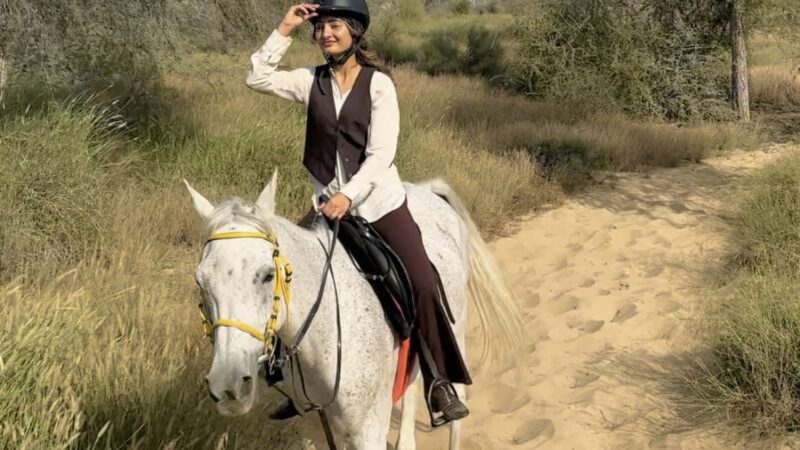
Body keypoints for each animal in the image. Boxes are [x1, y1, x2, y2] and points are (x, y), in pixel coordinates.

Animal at [185, 171, 528, 448]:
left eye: (268, 275)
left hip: (454, 332)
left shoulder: (368, 432)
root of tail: (427, 190)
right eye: (200, 280)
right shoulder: (319, 425)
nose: (228, 388)